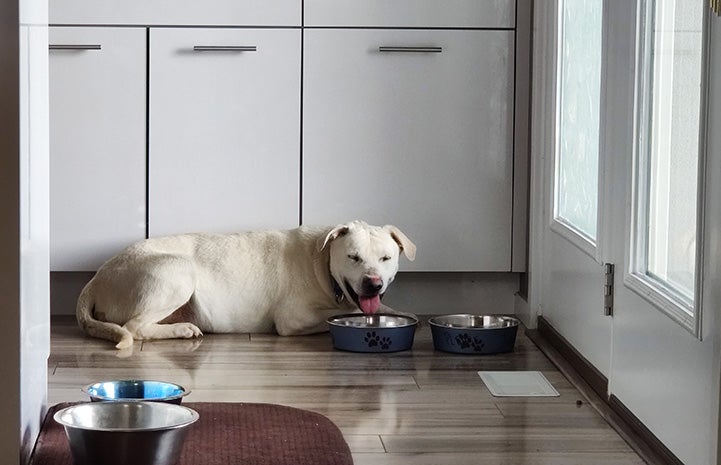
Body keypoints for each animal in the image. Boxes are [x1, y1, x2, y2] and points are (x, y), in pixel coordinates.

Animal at [75, 220, 414, 348]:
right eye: (353, 257)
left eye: (386, 258)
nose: (373, 283)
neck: (321, 260)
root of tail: (97, 277)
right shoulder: (294, 318)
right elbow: (344, 314)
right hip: (178, 270)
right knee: (134, 327)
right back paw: (182, 330)